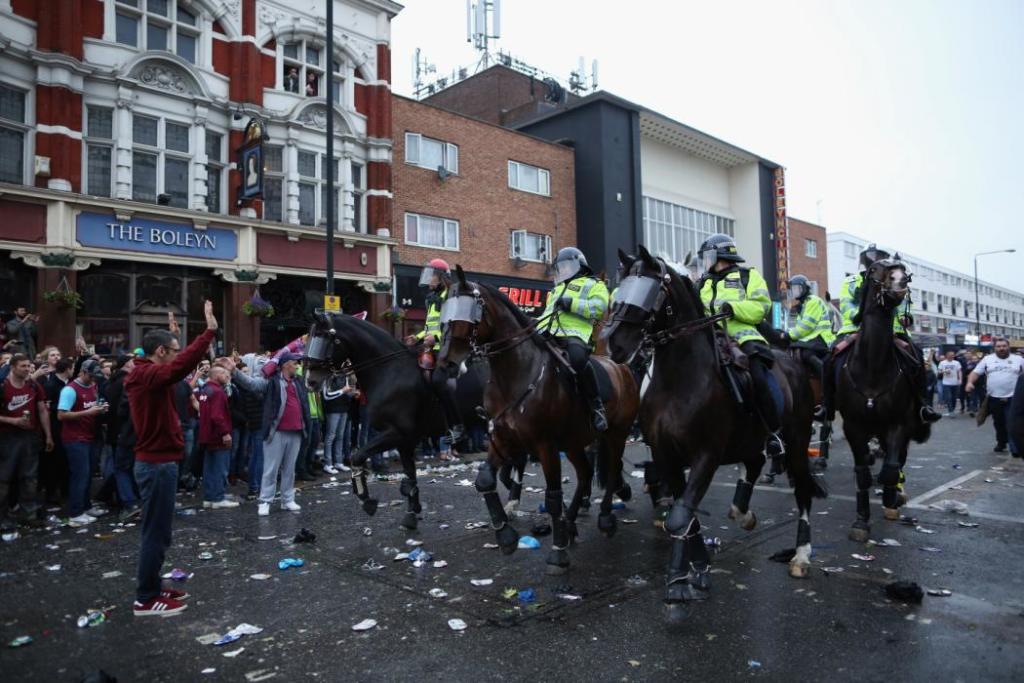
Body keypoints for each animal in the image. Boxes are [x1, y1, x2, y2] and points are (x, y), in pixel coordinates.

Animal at [301, 313, 497, 532]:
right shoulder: (405, 441)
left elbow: (357, 456)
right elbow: (409, 476)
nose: (310, 381)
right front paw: (411, 514)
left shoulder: (396, 433)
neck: (390, 371)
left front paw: (366, 499)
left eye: (324, 337)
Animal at [436, 264, 634, 573]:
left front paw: (558, 551)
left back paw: (603, 519)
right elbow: (485, 480)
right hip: (575, 442)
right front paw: (505, 536)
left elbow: (552, 497)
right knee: (585, 474)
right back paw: (571, 524)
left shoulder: (544, 444)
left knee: (611, 471)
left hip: (616, 434)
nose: (446, 364)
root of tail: (621, 367)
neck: (517, 373)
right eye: (444, 308)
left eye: (470, 311)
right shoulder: (503, 437)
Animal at [606, 246, 823, 626]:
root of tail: (793, 363)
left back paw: (801, 555)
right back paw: (743, 513)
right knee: (754, 464)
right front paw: (699, 571)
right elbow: (685, 513)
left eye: (648, 288)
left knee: (802, 491)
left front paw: (677, 590)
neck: (680, 380)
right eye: (621, 288)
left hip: (796, 444)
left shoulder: (705, 455)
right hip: (750, 441)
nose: (614, 344)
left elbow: (680, 516)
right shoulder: (667, 457)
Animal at [835, 255, 933, 540]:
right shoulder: (853, 427)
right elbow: (863, 475)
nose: (900, 282)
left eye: (903, 270)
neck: (872, 367)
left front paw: (892, 499)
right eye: (874, 269)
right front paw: (860, 522)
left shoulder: (899, 423)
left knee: (897, 461)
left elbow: (890, 470)